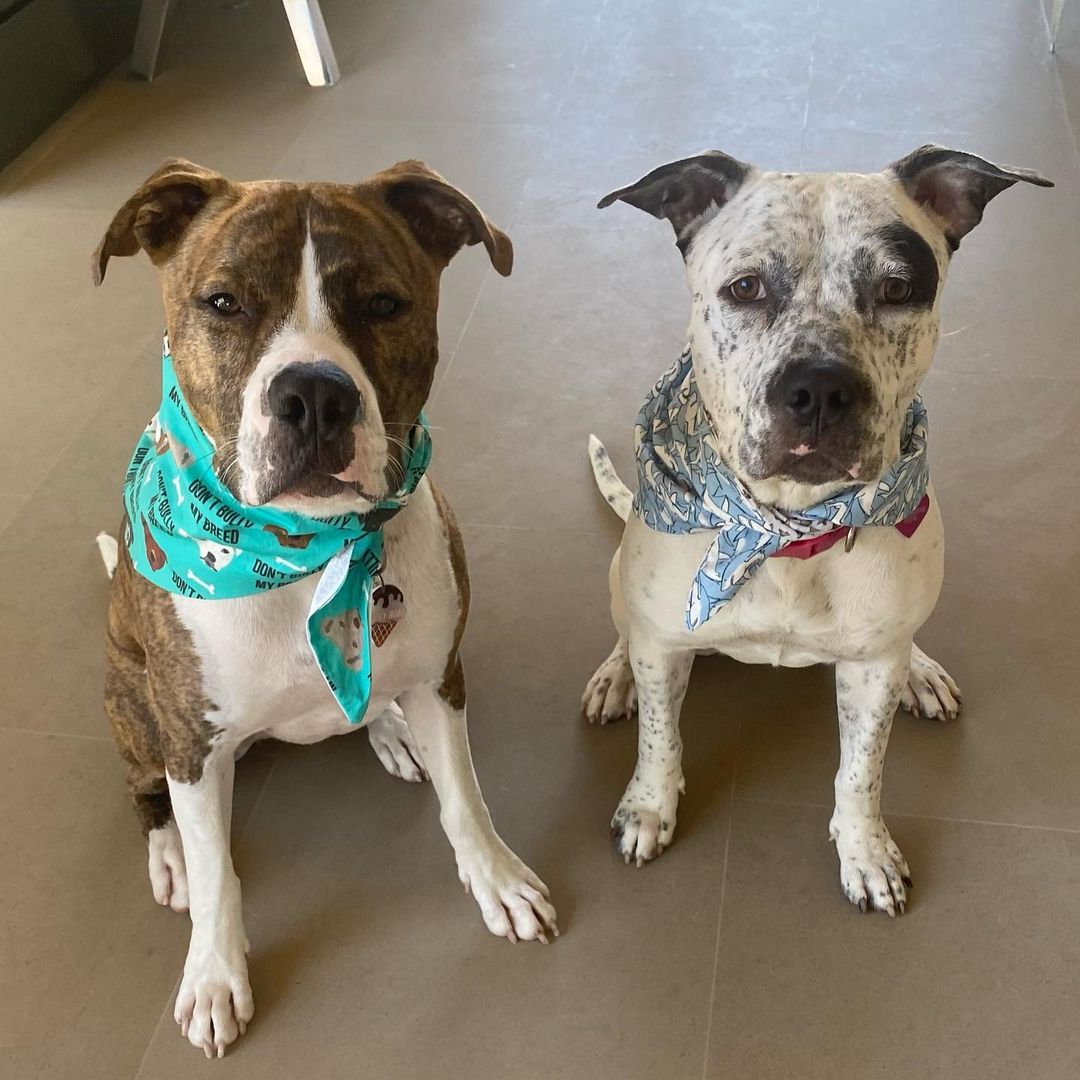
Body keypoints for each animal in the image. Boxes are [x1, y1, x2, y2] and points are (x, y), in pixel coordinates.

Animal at [95, 157, 557, 1054]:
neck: (305, 554)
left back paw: (388, 729)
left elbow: (466, 799)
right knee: (148, 792)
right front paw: (214, 973)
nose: (313, 394)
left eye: (382, 303)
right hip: (132, 700)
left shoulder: (442, 677)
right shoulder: (193, 741)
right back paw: (168, 851)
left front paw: (496, 879)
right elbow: (219, 877)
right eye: (223, 302)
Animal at [587, 145, 1049, 911]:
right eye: (745, 287)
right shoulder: (666, 649)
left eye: (898, 288)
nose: (820, 389)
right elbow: (661, 738)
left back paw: (922, 671)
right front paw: (650, 806)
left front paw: (866, 851)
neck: (787, 531)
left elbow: (861, 770)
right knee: (627, 633)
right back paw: (613, 675)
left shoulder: (871, 670)